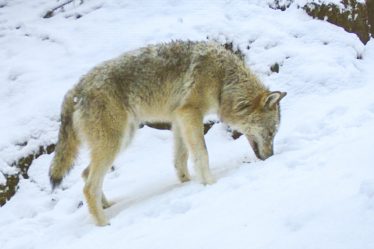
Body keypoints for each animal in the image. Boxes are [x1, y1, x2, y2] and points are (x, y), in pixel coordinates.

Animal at [49, 40, 286, 226]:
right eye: (270, 133)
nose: (271, 157)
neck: (223, 80)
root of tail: (76, 88)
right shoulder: (190, 114)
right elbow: (202, 153)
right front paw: (211, 183)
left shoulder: (178, 119)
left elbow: (181, 158)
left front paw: (188, 182)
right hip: (115, 142)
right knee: (89, 187)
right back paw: (103, 224)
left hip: (122, 139)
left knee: (85, 174)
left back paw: (106, 205)